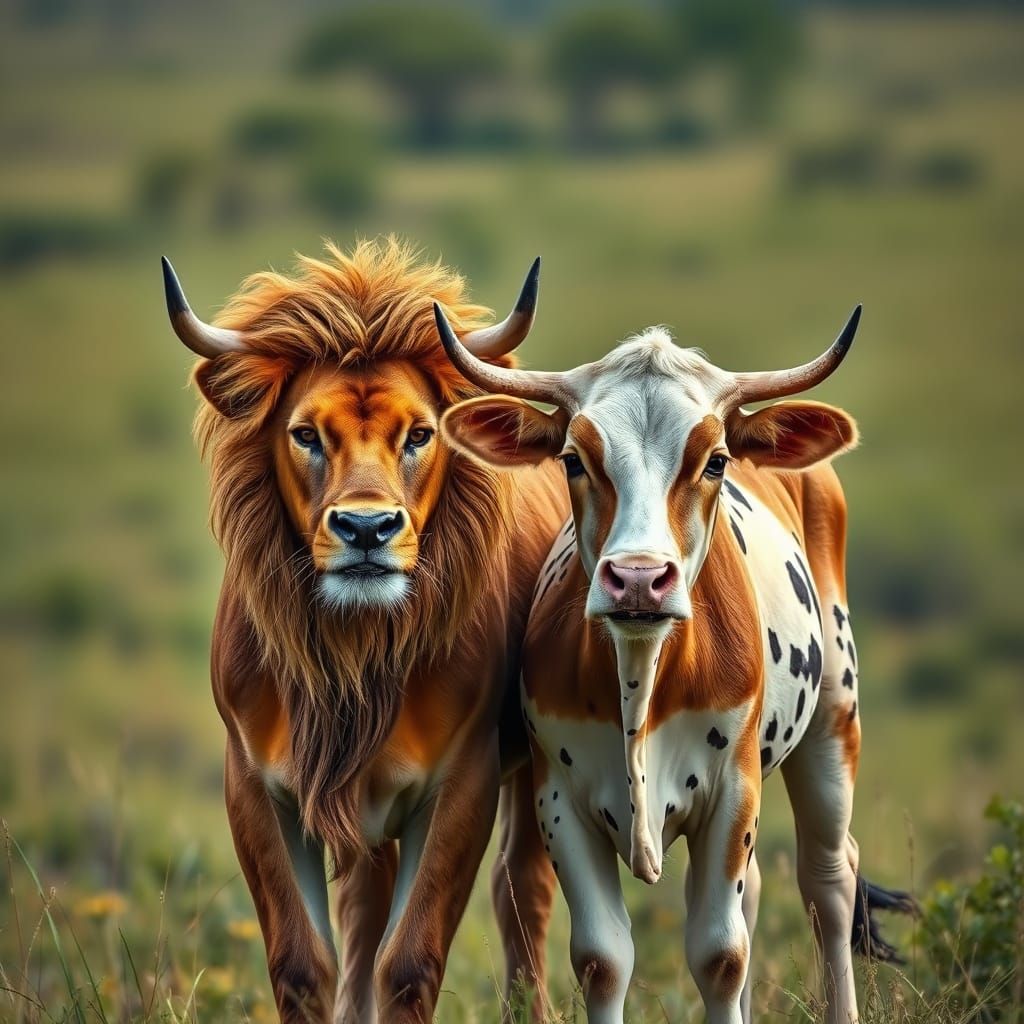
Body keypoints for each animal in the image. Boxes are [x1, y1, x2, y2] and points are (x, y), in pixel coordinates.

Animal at [159, 240, 568, 1024]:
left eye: (420, 434)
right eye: (305, 434)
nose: (367, 528)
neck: (351, 653)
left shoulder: (460, 781)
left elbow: (407, 961)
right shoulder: (257, 783)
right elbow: (303, 961)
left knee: (523, 897)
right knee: (363, 914)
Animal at [434, 304, 914, 1024]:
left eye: (714, 462)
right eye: (573, 459)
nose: (638, 579)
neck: (641, 676)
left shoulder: (733, 792)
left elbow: (719, 956)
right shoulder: (560, 801)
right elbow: (603, 960)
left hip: (835, 716)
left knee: (829, 881)